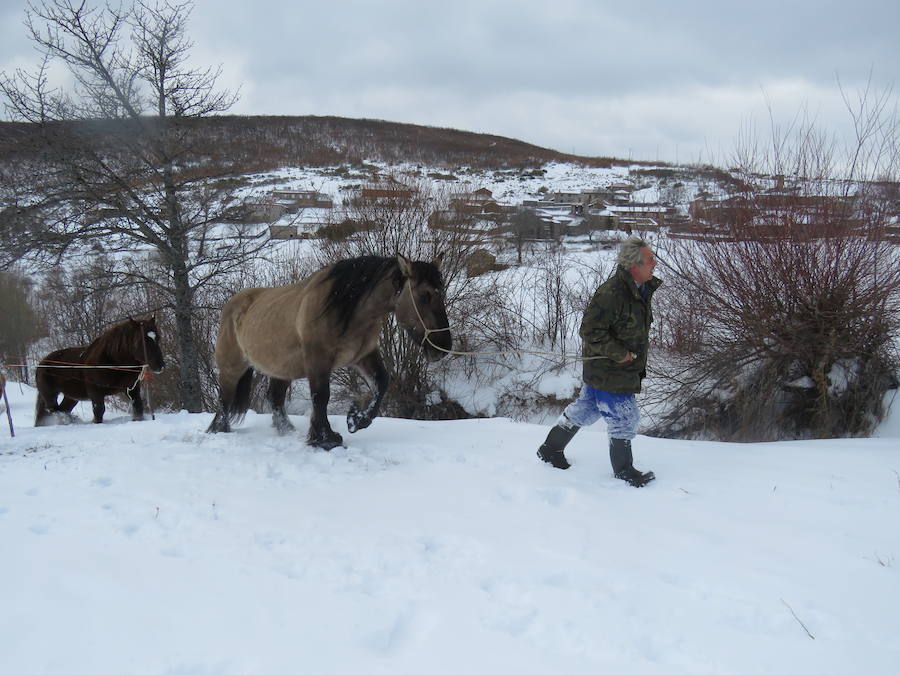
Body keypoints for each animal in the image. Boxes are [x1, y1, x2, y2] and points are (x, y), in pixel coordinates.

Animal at [34, 318, 165, 426]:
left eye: (157, 338)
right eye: (141, 340)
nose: (160, 365)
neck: (113, 361)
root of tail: (42, 363)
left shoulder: (132, 390)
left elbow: (138, 408)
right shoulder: (95, 392)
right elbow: (99, 411)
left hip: (71, 397)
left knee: (61, 409)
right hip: (49, 394)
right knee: (53, 410)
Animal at [207, 254, 454, 448]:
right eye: (424, 295)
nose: (443, 347)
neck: (343, 306)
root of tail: (234, 304)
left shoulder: (363, 355)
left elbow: (382, 383)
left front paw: (356, 419)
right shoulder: (318, 360)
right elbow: (321, 397)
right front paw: (326, 438)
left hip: (282, 369)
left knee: (275, 398)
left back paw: (287, 431)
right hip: (232, 367)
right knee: (225, 399)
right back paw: (218, 430)